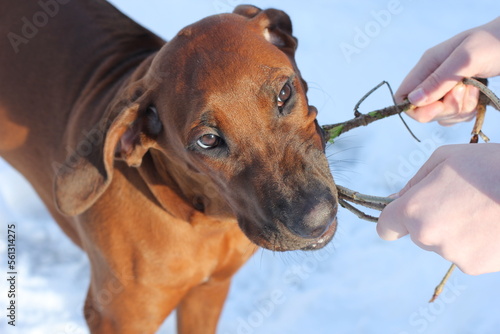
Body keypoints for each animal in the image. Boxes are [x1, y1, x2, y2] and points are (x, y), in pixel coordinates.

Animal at [0, 1, 338, 332]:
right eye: (208, 140)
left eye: (284, 94)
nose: (316, 219)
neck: (203, 222)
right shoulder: (119, 318)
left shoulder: (210, 290)